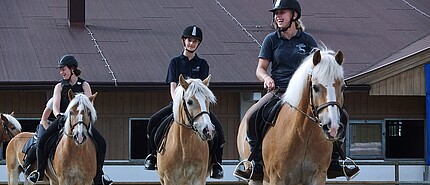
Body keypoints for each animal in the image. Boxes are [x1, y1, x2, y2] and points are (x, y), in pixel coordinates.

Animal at [237, 48, 348, 185]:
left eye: (343, 87)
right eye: (315, 87)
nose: (332, 128)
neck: (304, 134)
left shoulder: (318, 176)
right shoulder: (277, 178)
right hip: (256, 178)